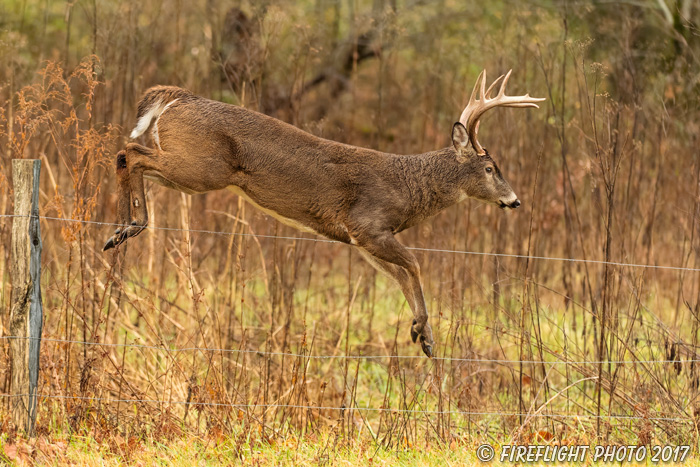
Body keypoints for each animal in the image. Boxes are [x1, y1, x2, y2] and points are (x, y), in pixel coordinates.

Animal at [104, 69, 544, 358]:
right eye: (490, 168)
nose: (516, 200)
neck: (409, 188)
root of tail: (180, 97)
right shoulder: (368, 226)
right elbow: (416, 265)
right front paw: (425, 333)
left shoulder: (360, 240)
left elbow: (402, 275)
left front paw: (423, 335)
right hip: (203, 167)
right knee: (129, 152)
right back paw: (129, 226)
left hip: (192, 170)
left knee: (130, 154)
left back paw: (121, 229)